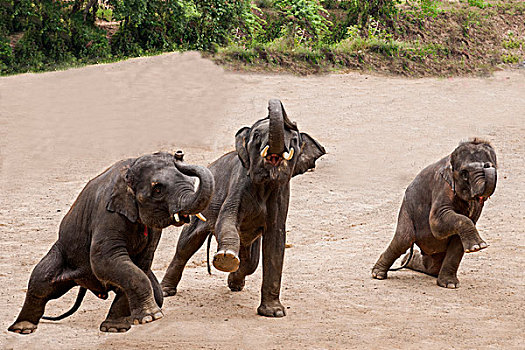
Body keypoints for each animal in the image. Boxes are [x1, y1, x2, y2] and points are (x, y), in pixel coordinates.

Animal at [7, 150, 214, 334]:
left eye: (191, 181)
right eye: (157, 189)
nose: (179, 154)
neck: (131, 167)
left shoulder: (153, 232)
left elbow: (139, 265)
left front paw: (117, 327)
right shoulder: (107, 213)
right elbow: (105, 260)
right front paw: (152, 317)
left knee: (157, 292)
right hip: (62, 251)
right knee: (41, 280)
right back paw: (23, 329)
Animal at [160, 98, 324, 318]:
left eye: (296, 140)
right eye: (256, 136)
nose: (179, 153)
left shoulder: (281, 195)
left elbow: (275, 241)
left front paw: (273, 313)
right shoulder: (238, 185)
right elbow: (226, 220)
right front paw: (226, 258)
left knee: (250, 260)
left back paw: (235, 284)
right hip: (200, 209)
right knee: (186, 245)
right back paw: (166, 291)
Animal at [370, 139, 498, 290]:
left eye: (493, 166)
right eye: (464, 173)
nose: (487, 165)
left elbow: (458, 240)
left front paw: (450, 285)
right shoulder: (442, 184)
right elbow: (436, 223)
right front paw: (479, 247)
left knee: (432, 266)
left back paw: (407, 260)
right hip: (407, 210)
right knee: (403, 239)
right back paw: (378, 274)